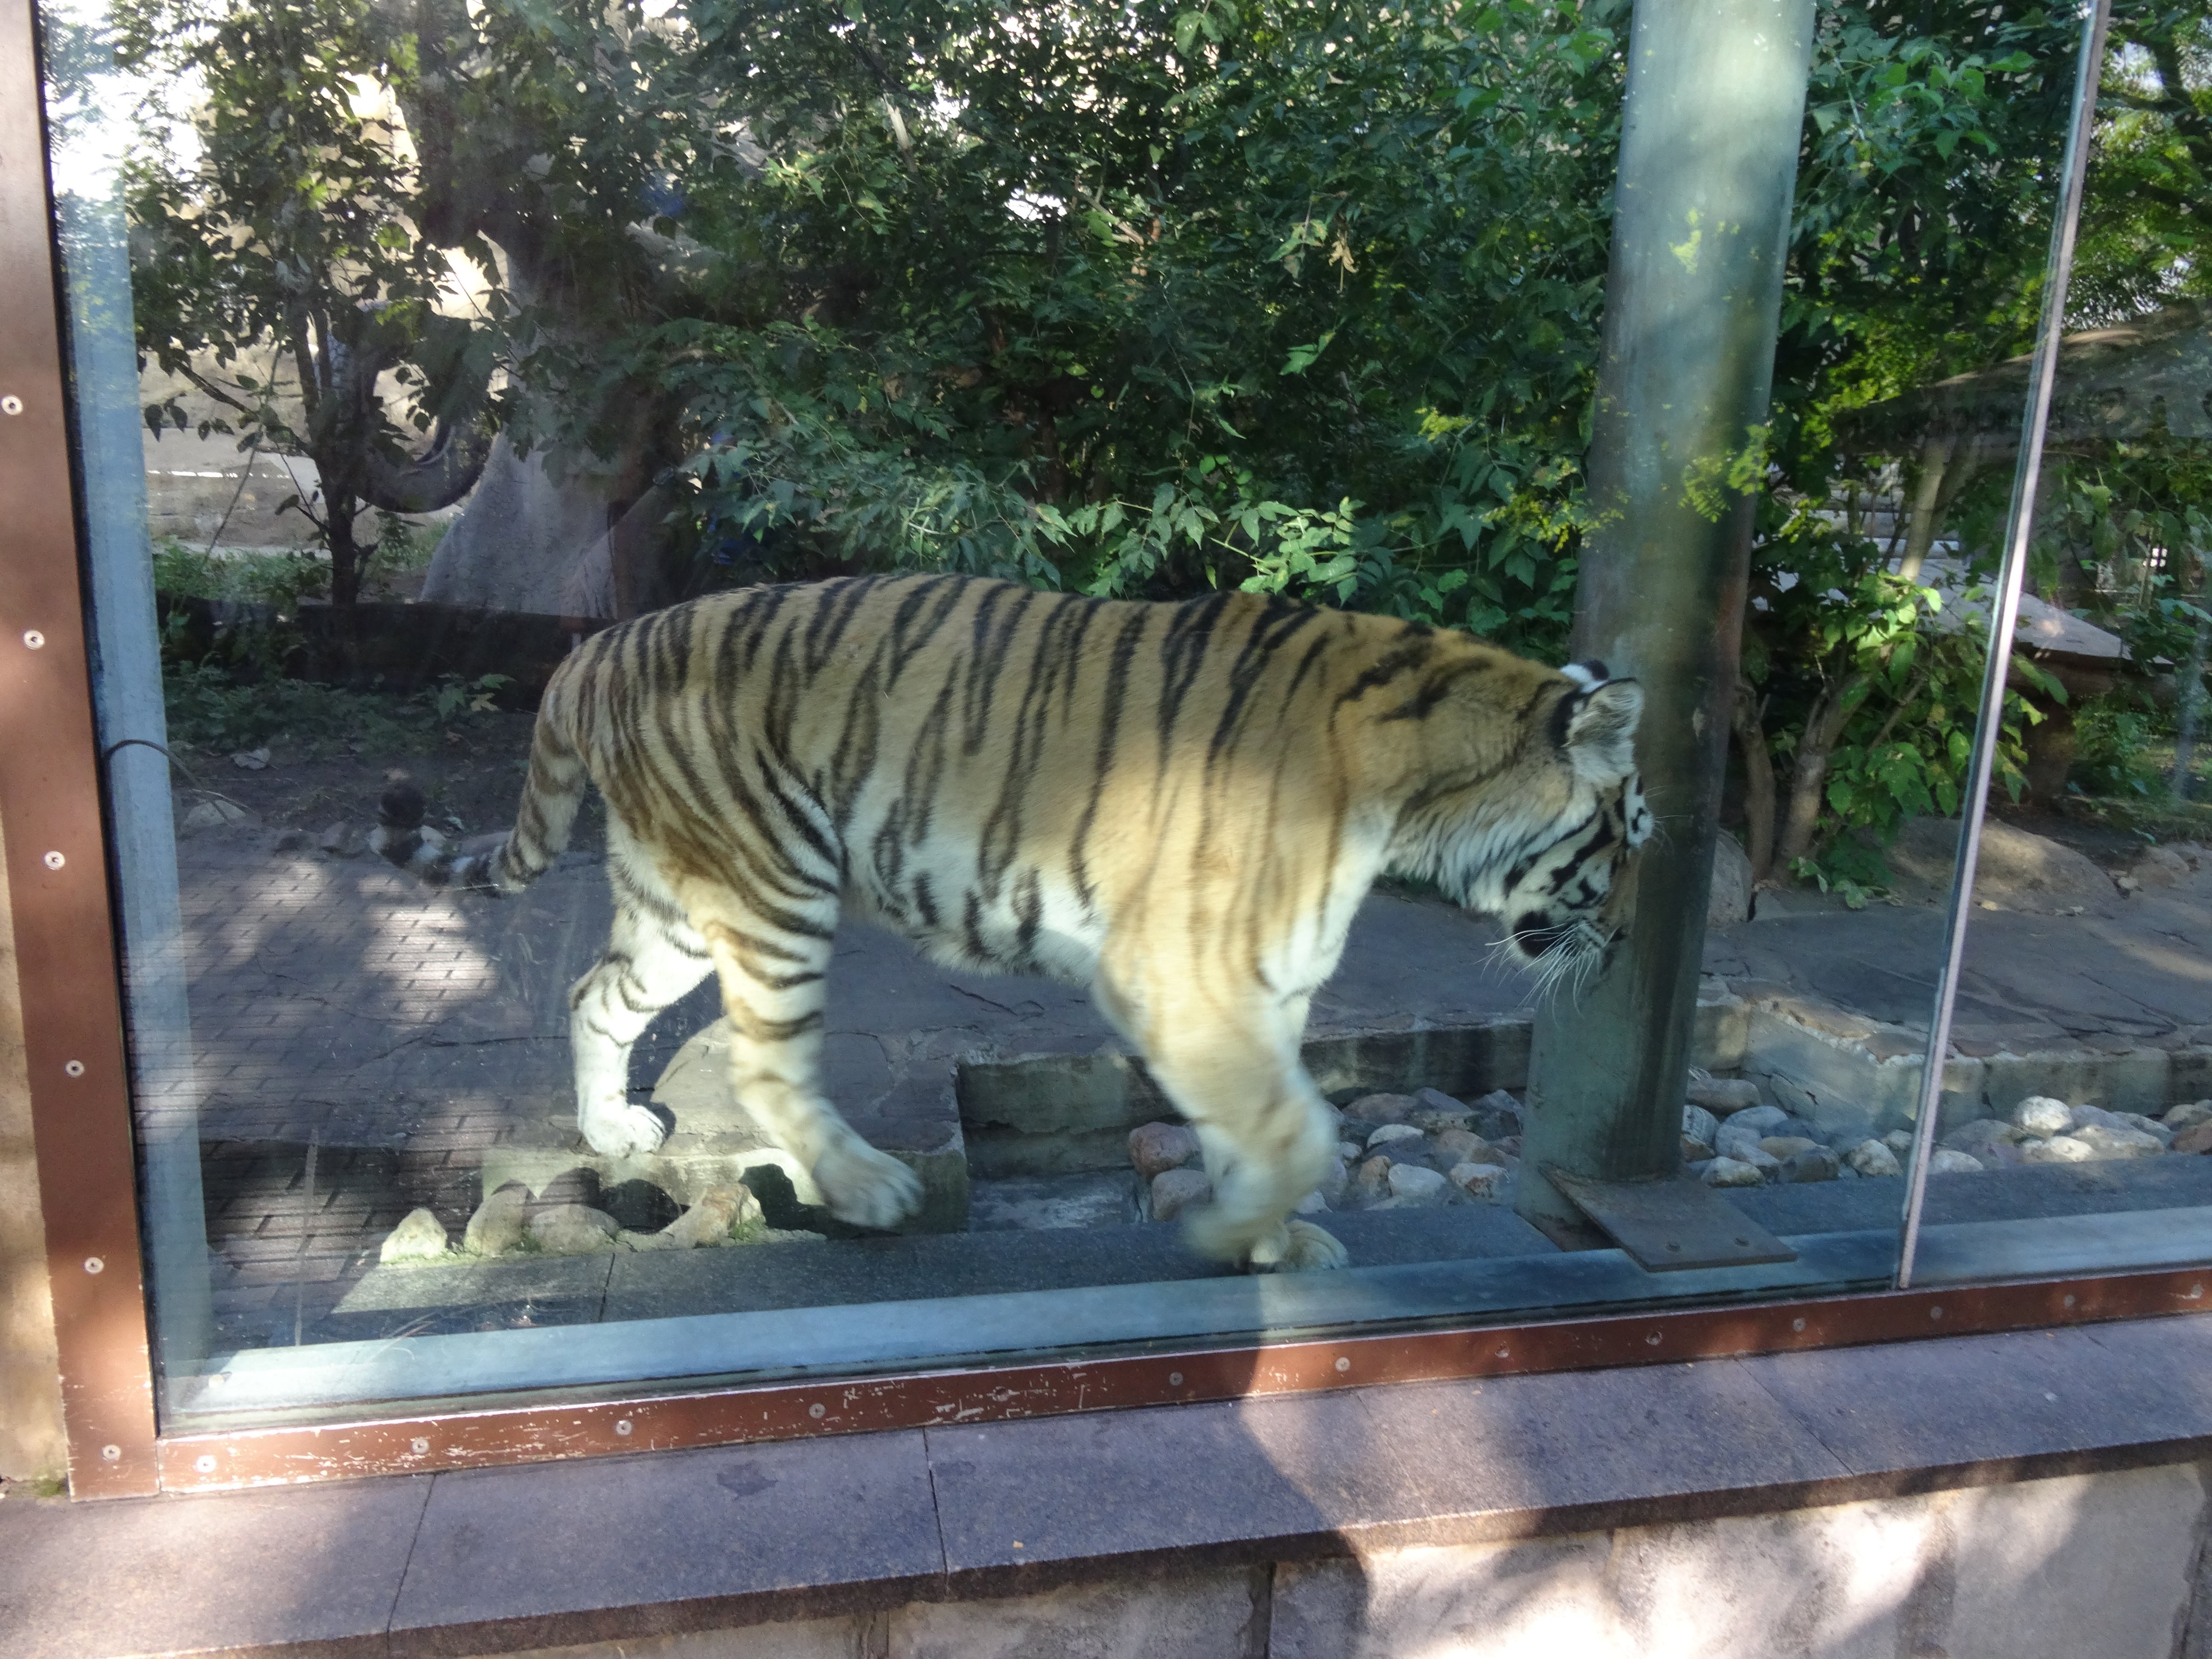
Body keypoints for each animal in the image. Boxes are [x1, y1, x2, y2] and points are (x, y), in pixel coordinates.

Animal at [380, 570, 1654, 1274]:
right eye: (1632, 833)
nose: (1632, 940)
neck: (1419, 789)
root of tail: (596, 644)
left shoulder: (1257, 992)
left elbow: (1264, 1129)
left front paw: (1272, 1243)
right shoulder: (1183, 976)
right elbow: (1297, 1135)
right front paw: (1235, 1236)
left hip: (672, 903)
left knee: (598, 994)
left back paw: (611, 1130)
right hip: (768, 878)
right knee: (761, 1062)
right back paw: (870, 1190)